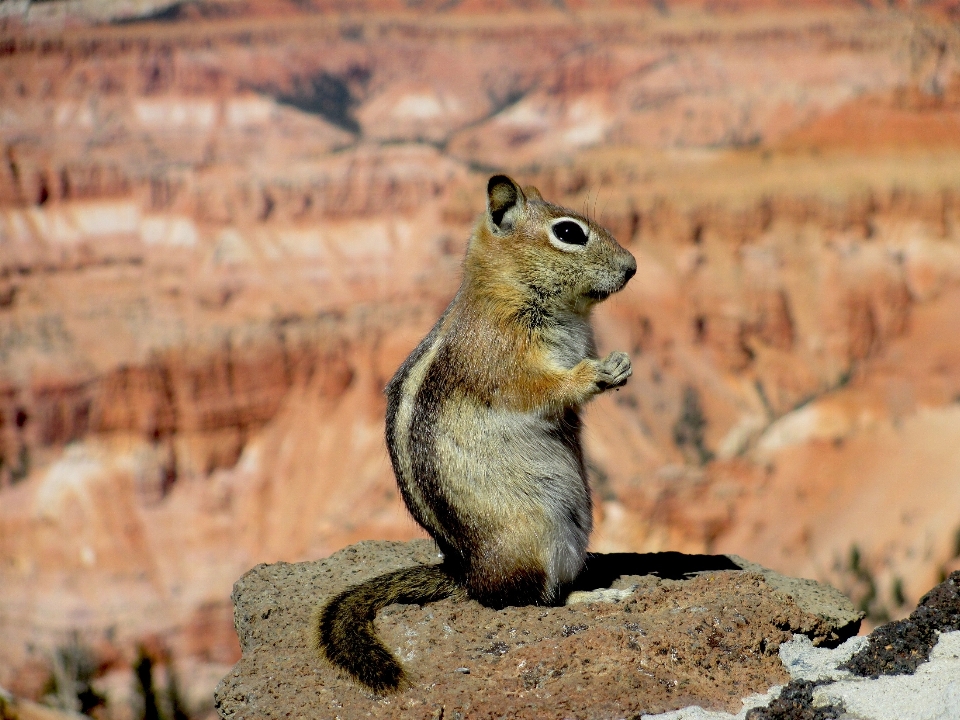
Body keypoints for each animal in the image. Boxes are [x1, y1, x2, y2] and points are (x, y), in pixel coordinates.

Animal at [316, 173, 640, 692]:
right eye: (569, 233)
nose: (632, 267)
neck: (510, 291)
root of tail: (466, 572)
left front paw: (622, 365)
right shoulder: (504, 358)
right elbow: (543, 389)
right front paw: (596, 373)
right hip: (536, 537)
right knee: (525, 600)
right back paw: (594, 597)